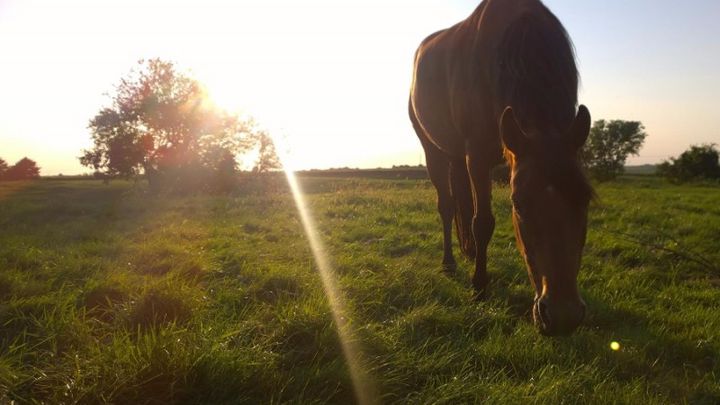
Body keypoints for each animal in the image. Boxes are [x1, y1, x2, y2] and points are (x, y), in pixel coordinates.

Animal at [408, 0, 592, 334]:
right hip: (433, 151)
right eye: (518, 203)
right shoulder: (478, 157)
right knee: (447, 205)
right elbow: (483, 222)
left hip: (457, 157)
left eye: (586, 199)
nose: (563, 317)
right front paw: (479, 286)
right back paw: (450, 262)